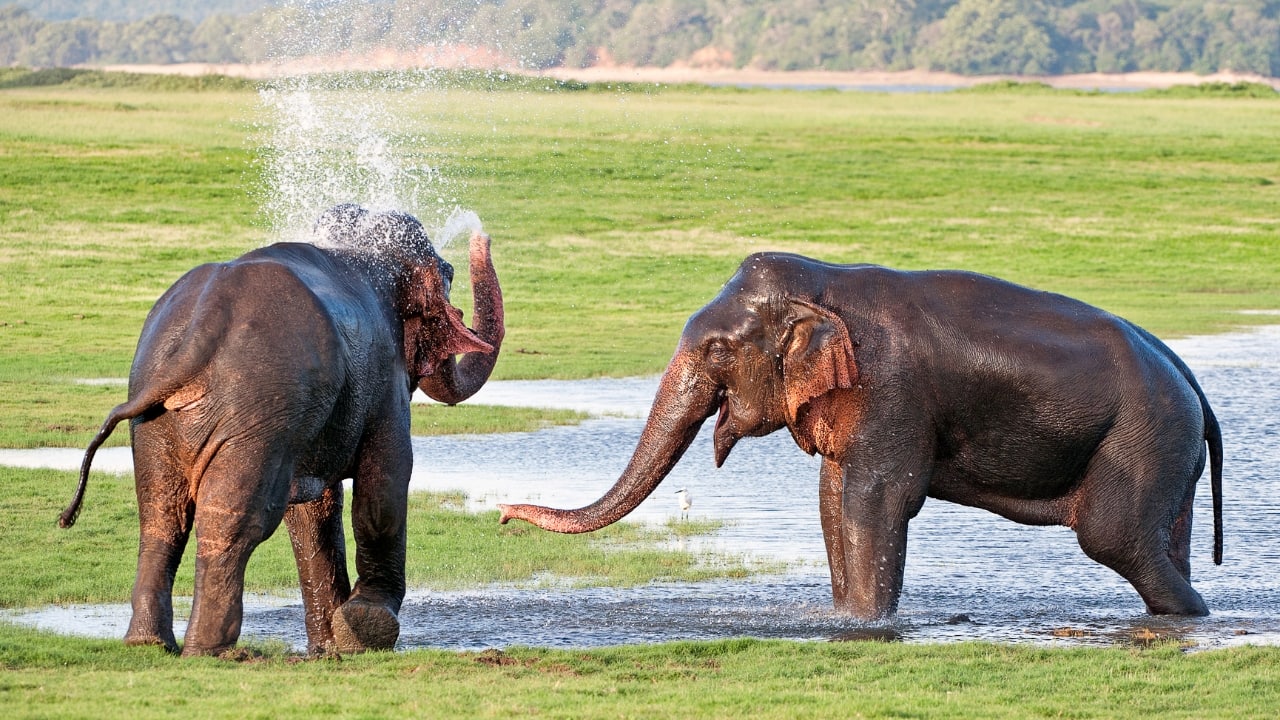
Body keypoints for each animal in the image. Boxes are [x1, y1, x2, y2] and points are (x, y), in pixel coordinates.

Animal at [59, 204, 504, 656]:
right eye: (450, 274)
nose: (480, 234)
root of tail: (197, 336)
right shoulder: (384, 382)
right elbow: (385, 482)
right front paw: (364, 630)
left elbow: (313, 508)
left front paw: (330, 649)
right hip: (257, 415)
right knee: (237, 517)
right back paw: (212, 650)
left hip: (157, 417)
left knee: (162, 514)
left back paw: (148, 644)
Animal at [500, 252, 1223, 621]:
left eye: (715, 350)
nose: (503, 513)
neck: (826, 284)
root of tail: (1190, 381)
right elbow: (832, 499)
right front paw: (845, 621)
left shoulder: (890, 387)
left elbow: (876, 499)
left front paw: (866, 627)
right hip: (1167, 450)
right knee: (1161, 537)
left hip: (1143, 439)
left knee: (1113, 538)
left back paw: (1193, 616)